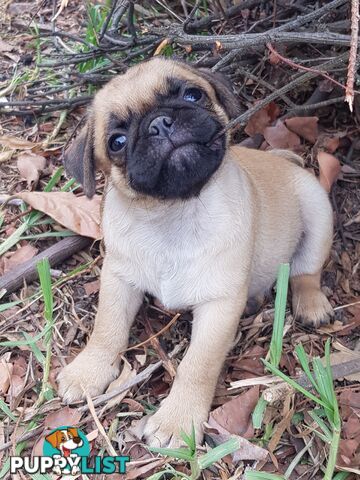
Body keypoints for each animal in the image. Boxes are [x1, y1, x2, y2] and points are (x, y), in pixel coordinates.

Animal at [57, 57, 334, 446]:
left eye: (192, 95)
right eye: (117, 142)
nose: (160, 123)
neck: (174, 213)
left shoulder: (219, 305)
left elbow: (197, 365)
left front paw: (177, 420)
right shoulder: (118, 278)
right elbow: (106, 328)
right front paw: (88, 371)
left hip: (317, 211)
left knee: (305, 271)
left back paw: (311, 304)